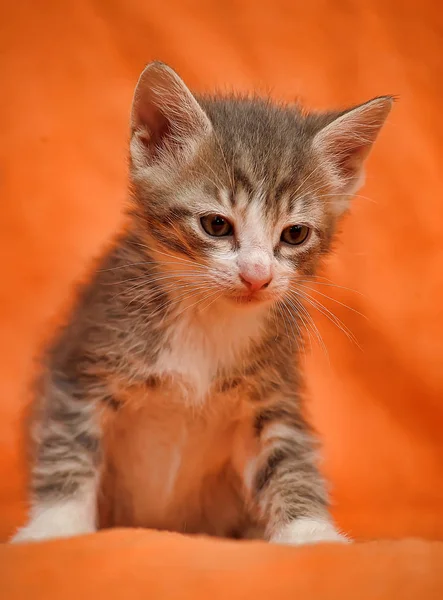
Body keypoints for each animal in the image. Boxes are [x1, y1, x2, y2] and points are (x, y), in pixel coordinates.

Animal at [11, 63, 392, 548]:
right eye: (215, 225)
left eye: (294, 234)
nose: (256, 275)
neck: (206, 317)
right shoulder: (82, 366)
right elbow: (68, 446)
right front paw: (54, 529)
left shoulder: (271, 394)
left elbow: (288, 458)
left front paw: (311, 533)